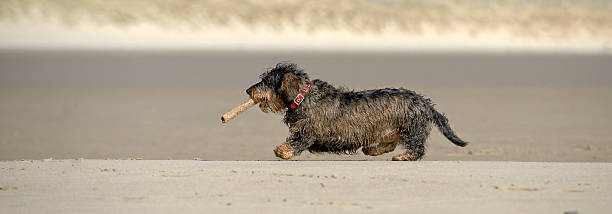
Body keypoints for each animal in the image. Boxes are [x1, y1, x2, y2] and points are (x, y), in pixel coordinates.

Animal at [246, 62, 466, 160]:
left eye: (266, 81)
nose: (248, 90)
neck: (304, 97)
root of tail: (424, 103)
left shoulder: (306, 132)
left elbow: (297, 141)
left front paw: (282, 150)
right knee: (390, 144)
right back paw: (373, 149)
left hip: (411, 129)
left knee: (417, 149)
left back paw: (403, 156)